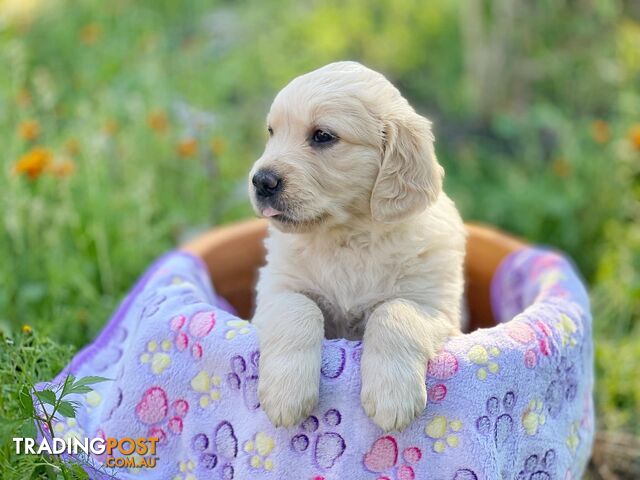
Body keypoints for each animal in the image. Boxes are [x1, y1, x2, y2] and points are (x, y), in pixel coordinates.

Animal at [248, 60, 462, 432]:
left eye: (323, 136)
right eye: (272, 132)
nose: (261, 181)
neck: (349, 236)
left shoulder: (436, 306)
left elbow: (395, 312)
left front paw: (392, 397)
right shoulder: (276, 290)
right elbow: (298, 308)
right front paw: (286, 394)